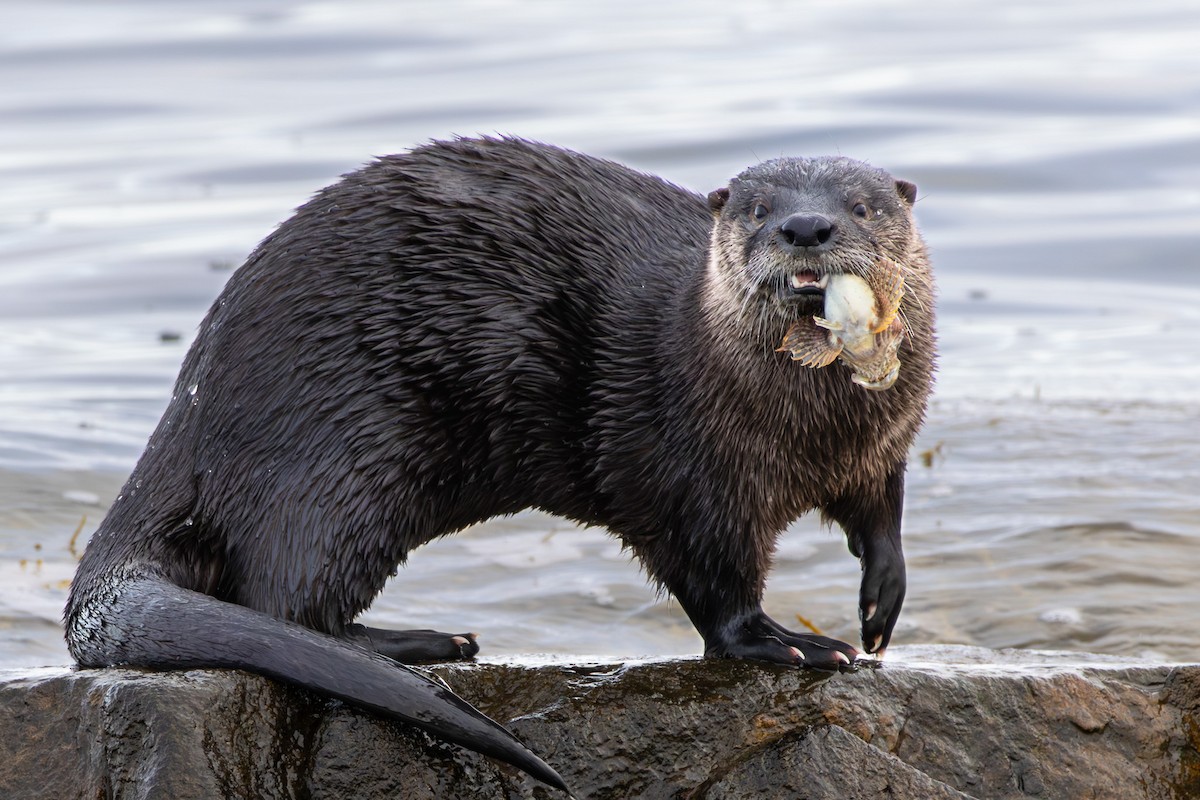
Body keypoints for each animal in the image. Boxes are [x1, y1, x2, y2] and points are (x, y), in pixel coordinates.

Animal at [65, 137, 935, 792]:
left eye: (864, 206)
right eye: (758, 210)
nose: (807, 228)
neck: (816, 433)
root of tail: (192, 406)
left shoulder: (884, 443)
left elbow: (882, 512)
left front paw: (882, 602)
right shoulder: (690, 472)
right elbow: (712, 578)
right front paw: (786, 641)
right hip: (336, 461)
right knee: (285, 596)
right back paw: (422, 642)